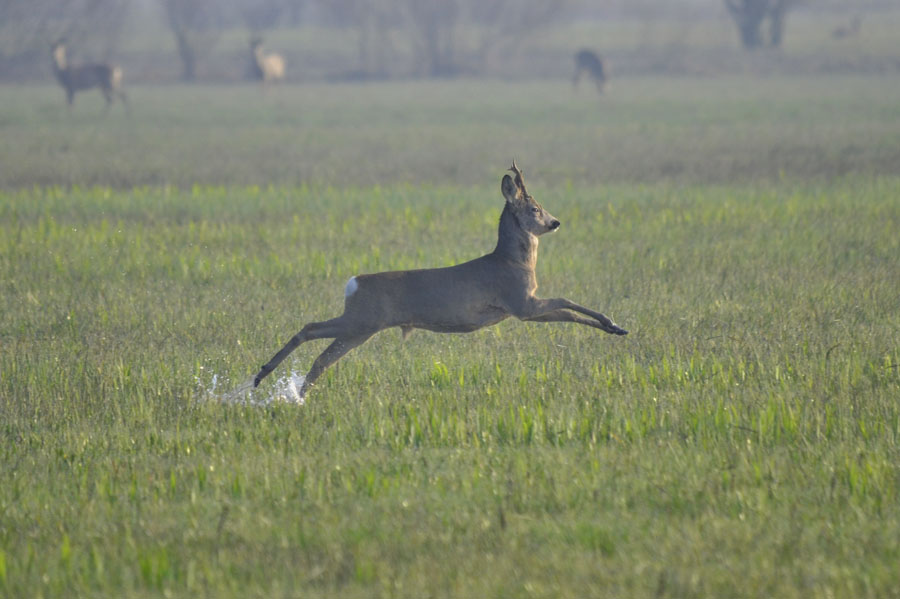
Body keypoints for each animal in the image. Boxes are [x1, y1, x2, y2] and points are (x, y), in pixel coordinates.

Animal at [250, 162, 628, 400]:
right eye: (534, 208)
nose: (555, 222)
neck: (513, 262)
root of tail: (353, 283)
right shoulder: (520, 302)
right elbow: (567, 302)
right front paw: (614, 324)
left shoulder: (522, 308)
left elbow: (567, 310)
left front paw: (615, 328)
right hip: (362, 321)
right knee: (313, 334)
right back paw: (269, 380)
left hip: (359, 325)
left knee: (320, 351)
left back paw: (284, 388)